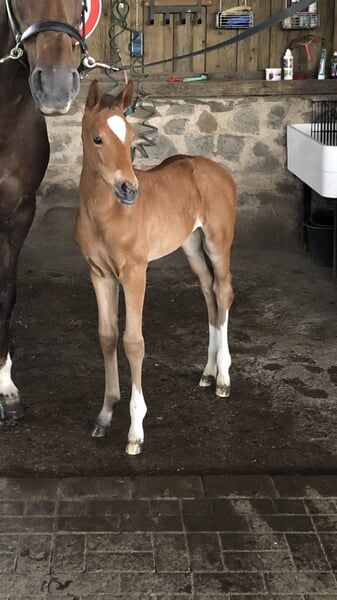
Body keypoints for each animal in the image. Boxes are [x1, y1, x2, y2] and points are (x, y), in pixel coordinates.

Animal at [75, 79, 235, 454]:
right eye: (98, 139)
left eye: (132, 138)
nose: (129, 189)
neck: (106, 213)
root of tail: (218, 171)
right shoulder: (100, 274)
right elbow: (107, 335)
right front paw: (106, 414)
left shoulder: (135, 273)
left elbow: (134, 342)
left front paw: (135, 430)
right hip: (191, 246)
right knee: (208, 291)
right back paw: (208, 372)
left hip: (217, 243)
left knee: (224, 290)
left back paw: (223, 376)